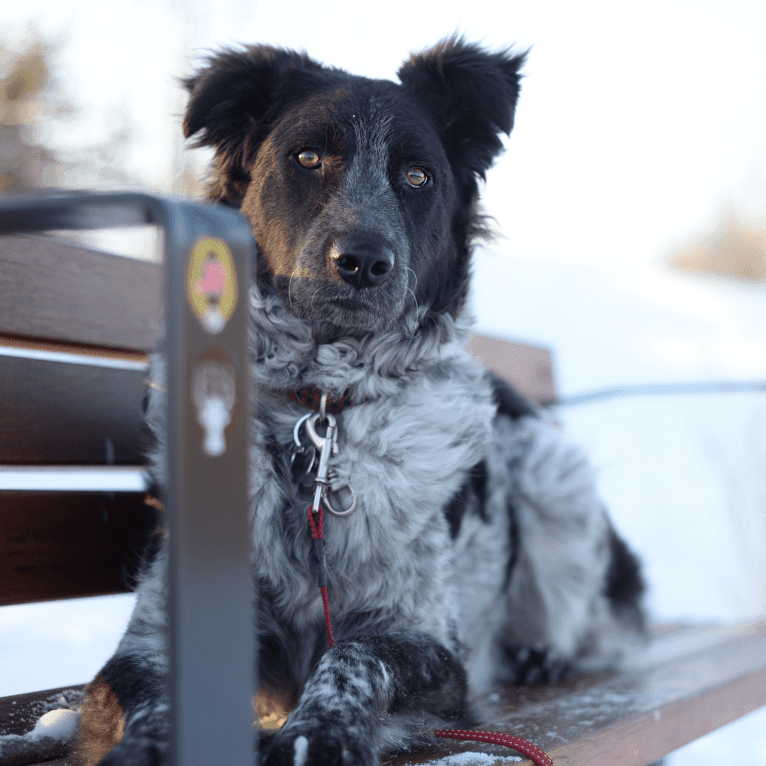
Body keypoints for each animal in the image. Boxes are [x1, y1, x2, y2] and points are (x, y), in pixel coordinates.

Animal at [79, 37, 648, 766]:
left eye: (417, 176)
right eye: (307, 158)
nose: (365, 261)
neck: (323, 404)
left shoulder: (428, 639)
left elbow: (352, 656)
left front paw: (318, 736)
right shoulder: (156, 632)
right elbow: (152, 698)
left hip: (556, 472)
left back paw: (541, 653)